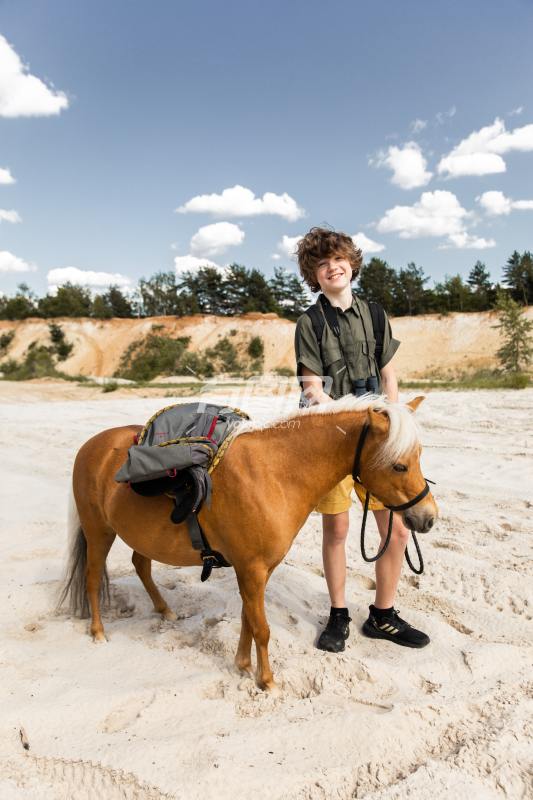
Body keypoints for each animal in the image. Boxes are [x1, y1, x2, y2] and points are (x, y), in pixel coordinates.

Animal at [59, 394, 436, 688]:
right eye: (399, 465)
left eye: (419, 457)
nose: (428, 517)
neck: (276, 473)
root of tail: (92, 446)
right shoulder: (252, 570)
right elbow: (262, 628)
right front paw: (266, 681)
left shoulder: (255, 571)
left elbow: (248, 621)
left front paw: (242, 666)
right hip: (99, 532)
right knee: (92, 578)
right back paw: (98, 631)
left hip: (138, 537)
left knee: (141, 566)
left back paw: (165, 611)